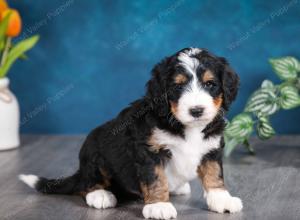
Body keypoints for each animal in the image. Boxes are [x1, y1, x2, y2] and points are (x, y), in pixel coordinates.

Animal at [19, 48, 243, 220]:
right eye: (178, 86)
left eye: (210, 84)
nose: (196, 111)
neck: (183, 125)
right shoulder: (148, 150)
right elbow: (155, 178)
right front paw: (159, 206)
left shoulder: (212, 148)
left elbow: (214, 174)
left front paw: (221, 199)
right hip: (94, 153)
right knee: (86, 183)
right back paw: (100, 195)